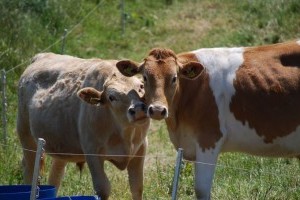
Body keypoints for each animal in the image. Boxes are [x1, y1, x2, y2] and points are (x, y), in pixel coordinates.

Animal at [16, 53, 150, 200]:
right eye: (111, 97)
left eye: (141, 87)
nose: (138, 110)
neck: (124, 132)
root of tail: (42, 56)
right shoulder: (92, 152)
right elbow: (103, 188)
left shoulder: (141, 149)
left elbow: (137, 186)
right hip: (26, 135)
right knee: (29, 169)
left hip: (61, 145)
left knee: (56, 175)